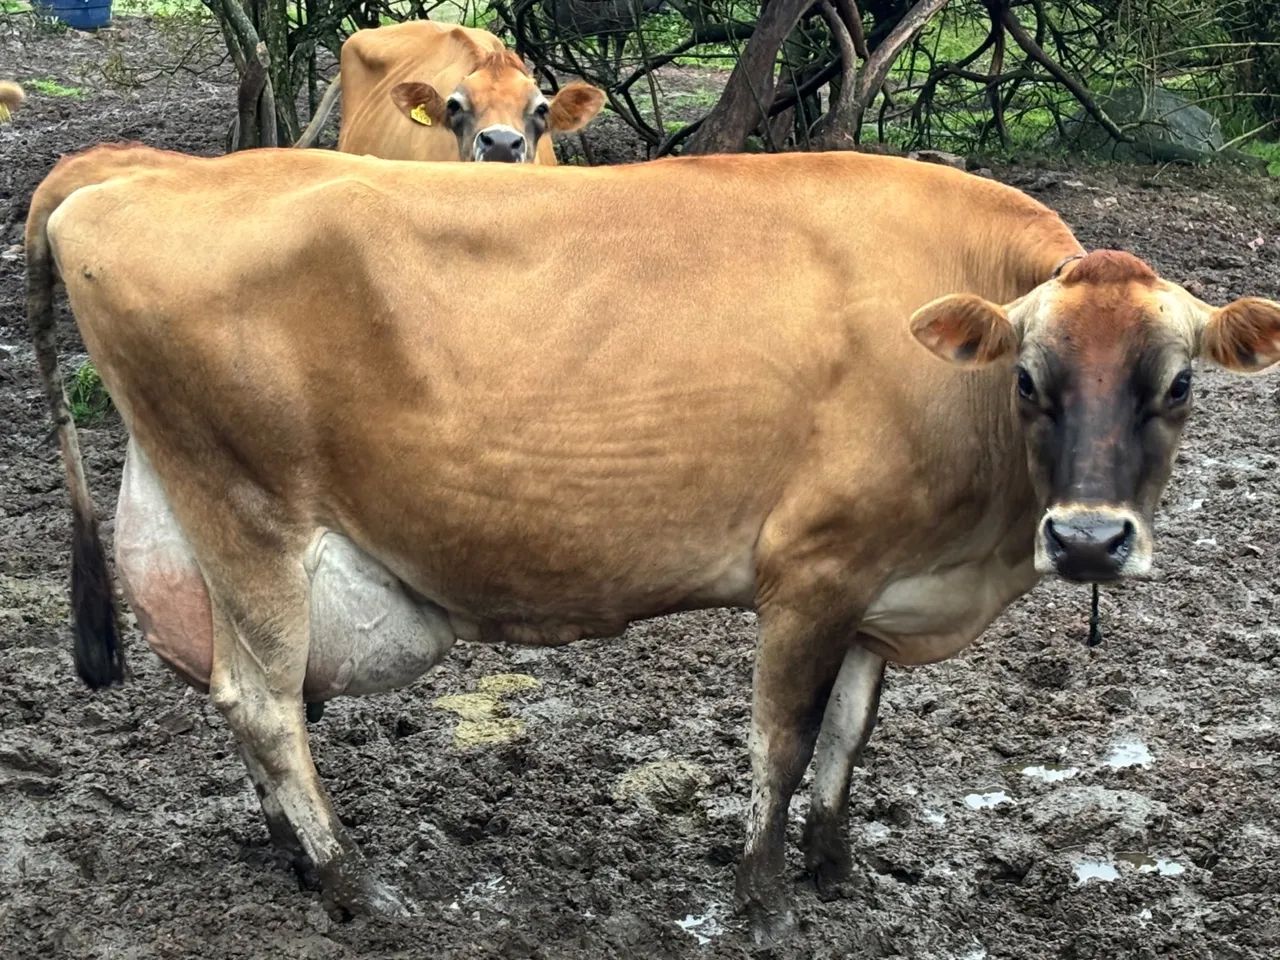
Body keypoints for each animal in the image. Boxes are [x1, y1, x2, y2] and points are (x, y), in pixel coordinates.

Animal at [26, 144, 1280, 942]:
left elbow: (849, 737)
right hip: (248, 510)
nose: (1088, 541)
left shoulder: (882, 582)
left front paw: (834, 865)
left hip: (201, 515)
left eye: (1176, 386)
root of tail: (140, 168)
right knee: (263, 702)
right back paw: (350, 883)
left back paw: (295, 857)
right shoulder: (810, 568)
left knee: (243, 692)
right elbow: (783, 742)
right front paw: (760, 896)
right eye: (1027, 378)